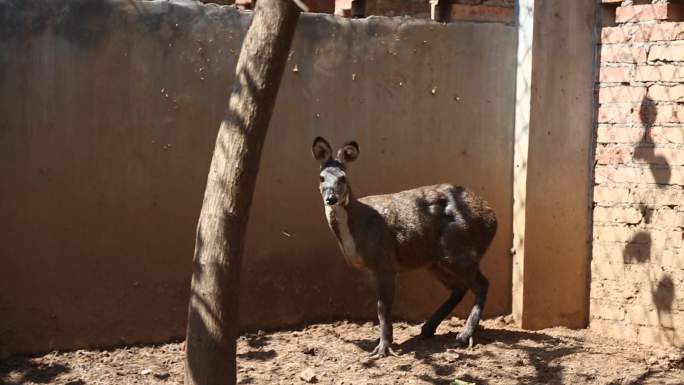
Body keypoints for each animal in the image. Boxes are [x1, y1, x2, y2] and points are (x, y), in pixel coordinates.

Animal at [312, 136, 496, 356]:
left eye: (343, 178)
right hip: (435, 262)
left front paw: (383, 347)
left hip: (458, 249)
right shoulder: (374, 268)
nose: (331, 198)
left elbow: (382, 307)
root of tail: (493, 218)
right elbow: (382, 306)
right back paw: (427, 329)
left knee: (481, 284)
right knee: (460, 288)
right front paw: (384, 341)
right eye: (322, 177)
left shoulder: (384, 261)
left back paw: (463, 336)